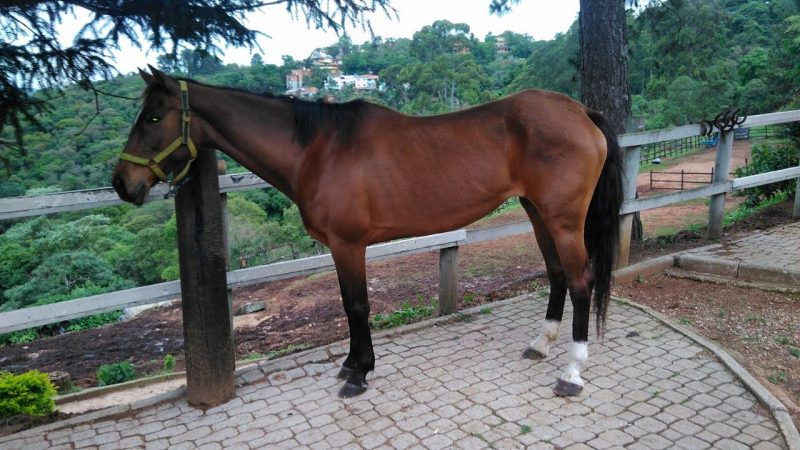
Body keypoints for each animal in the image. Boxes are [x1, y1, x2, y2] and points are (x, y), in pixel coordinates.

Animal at [112, 66, 623, 398]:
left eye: (154, 117)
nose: (122, 183)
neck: (318, 150)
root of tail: (580, 111)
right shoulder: (342, 248)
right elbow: (348, 305)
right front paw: (351, 365)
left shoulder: (348, 244)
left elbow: (356, 306)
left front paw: (359, 374)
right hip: (537, 211)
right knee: (557, 275)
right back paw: (540, 345)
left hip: (562, 219)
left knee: (580, 281)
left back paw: (572, 373)